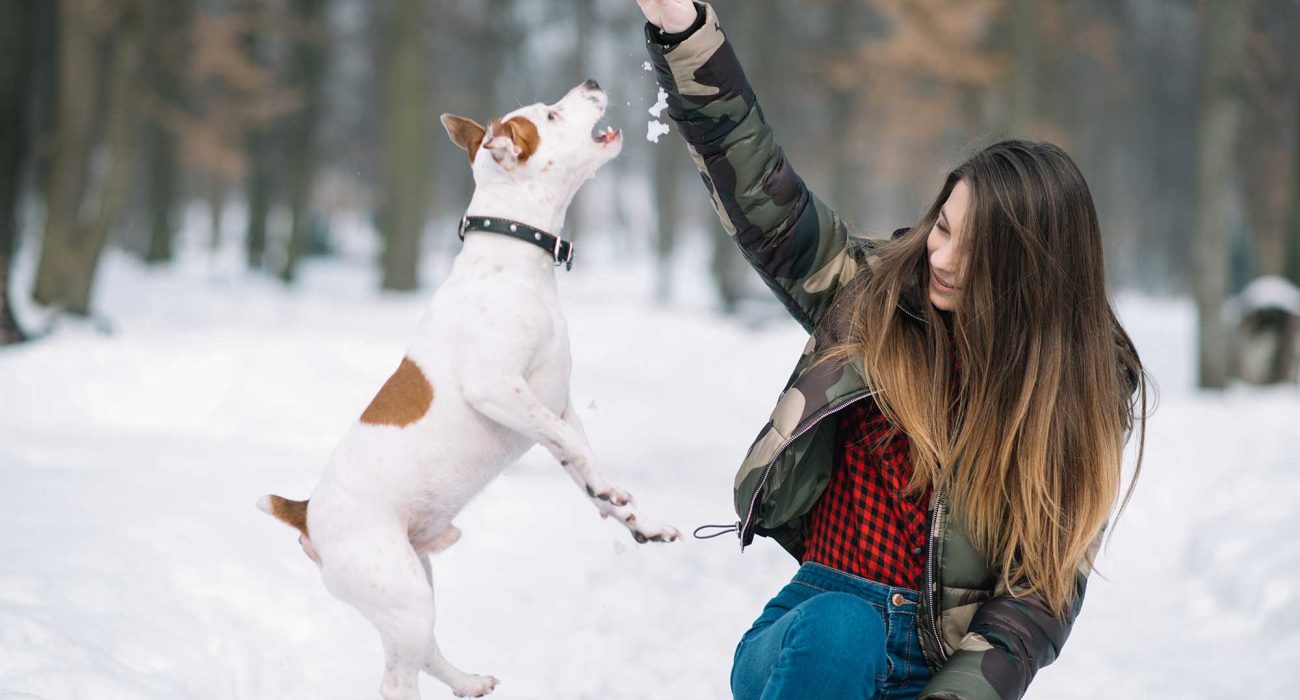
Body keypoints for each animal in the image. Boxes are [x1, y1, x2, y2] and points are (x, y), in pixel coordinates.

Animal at [254, 79, 681, 697]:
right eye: (551, 115)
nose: (592, 83)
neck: (513, 256)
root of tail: (305, 512)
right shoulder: (499, 390)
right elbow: (574, 449)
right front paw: (612, 496)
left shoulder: (558, 404)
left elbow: (581, 456)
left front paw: (633, 518)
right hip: (402, 594)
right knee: (397, 678)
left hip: (416, 584)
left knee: (428, 652)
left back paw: (469, 680)